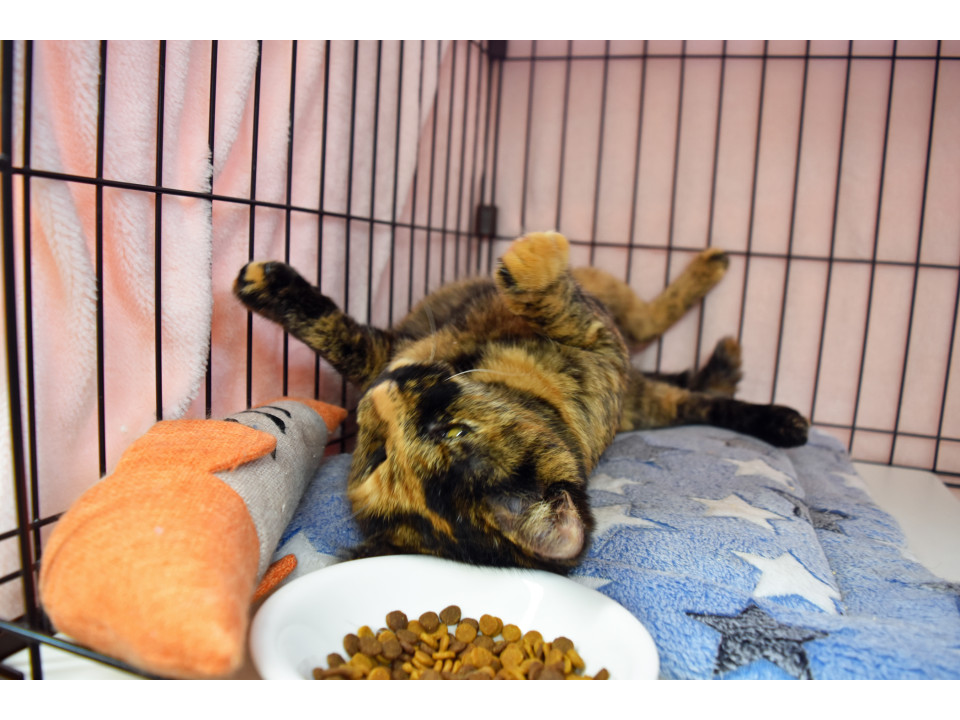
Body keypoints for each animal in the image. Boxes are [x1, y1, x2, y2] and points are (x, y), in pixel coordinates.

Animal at [233, 232, 809, 574]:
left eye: (454, 431)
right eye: (379, 455)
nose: (382, 397)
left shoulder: (596, 351)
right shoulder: (392, 354)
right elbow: (342, 337)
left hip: (628, 349)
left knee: (659, 341)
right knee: (672, 362)